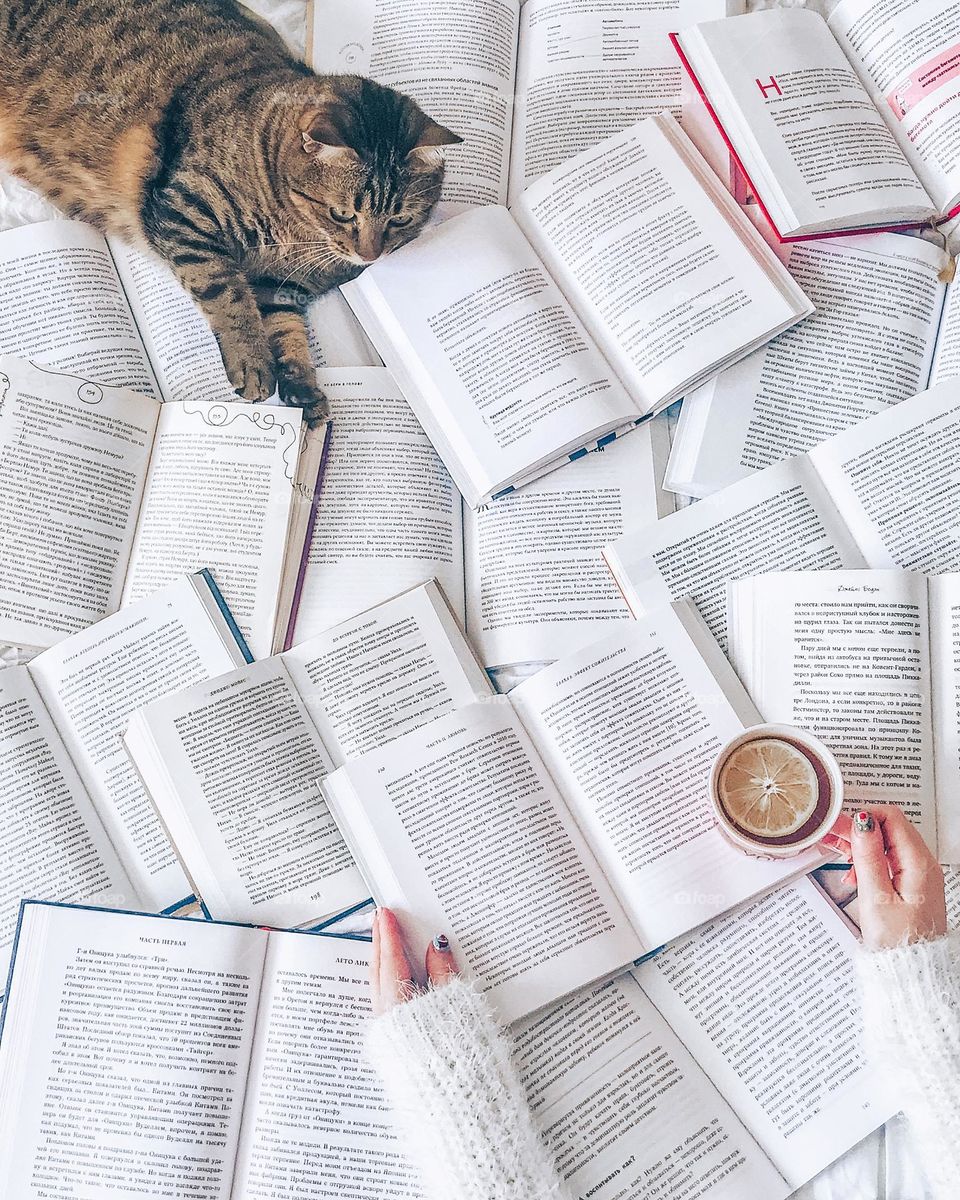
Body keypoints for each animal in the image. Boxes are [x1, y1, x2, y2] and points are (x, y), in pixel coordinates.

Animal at [0, 0, 458, 422]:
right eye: (342, 214)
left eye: (399, 220)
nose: (370, 255)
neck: (293, 233)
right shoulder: (183, 212)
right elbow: (227, 294)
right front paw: (252, 364)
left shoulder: (278, 286)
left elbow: (287, 330)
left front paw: (302, 390)